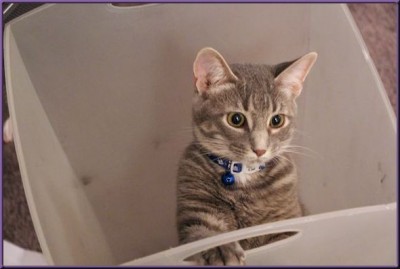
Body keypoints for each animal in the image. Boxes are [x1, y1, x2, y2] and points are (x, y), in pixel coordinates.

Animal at [177, 46, 318, 264]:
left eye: (276, 120)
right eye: (236, 119)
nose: (260, 149)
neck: (243, 174)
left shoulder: (288, 223)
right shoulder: (195, 207)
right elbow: (202, 234)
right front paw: (219, 247)